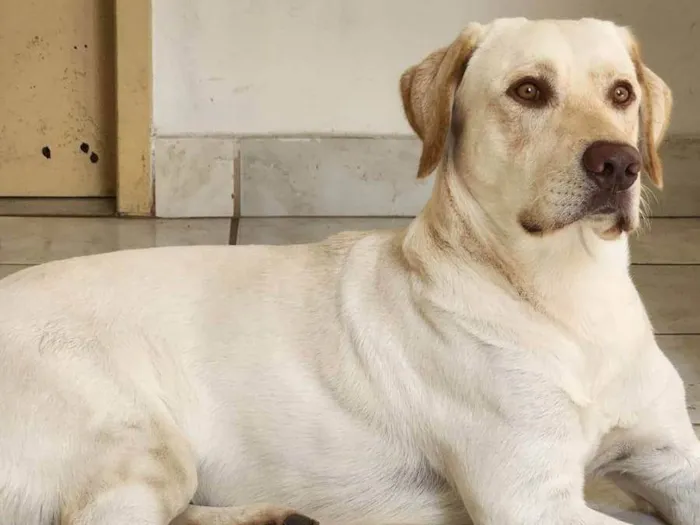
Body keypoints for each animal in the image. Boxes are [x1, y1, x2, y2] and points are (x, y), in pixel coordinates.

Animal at [0, 16, 696, 524]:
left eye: (622, 93)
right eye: (529, 90)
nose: (621, 163)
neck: (572, 299)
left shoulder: (671, 457)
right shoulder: (531, 497)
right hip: (144, 449)